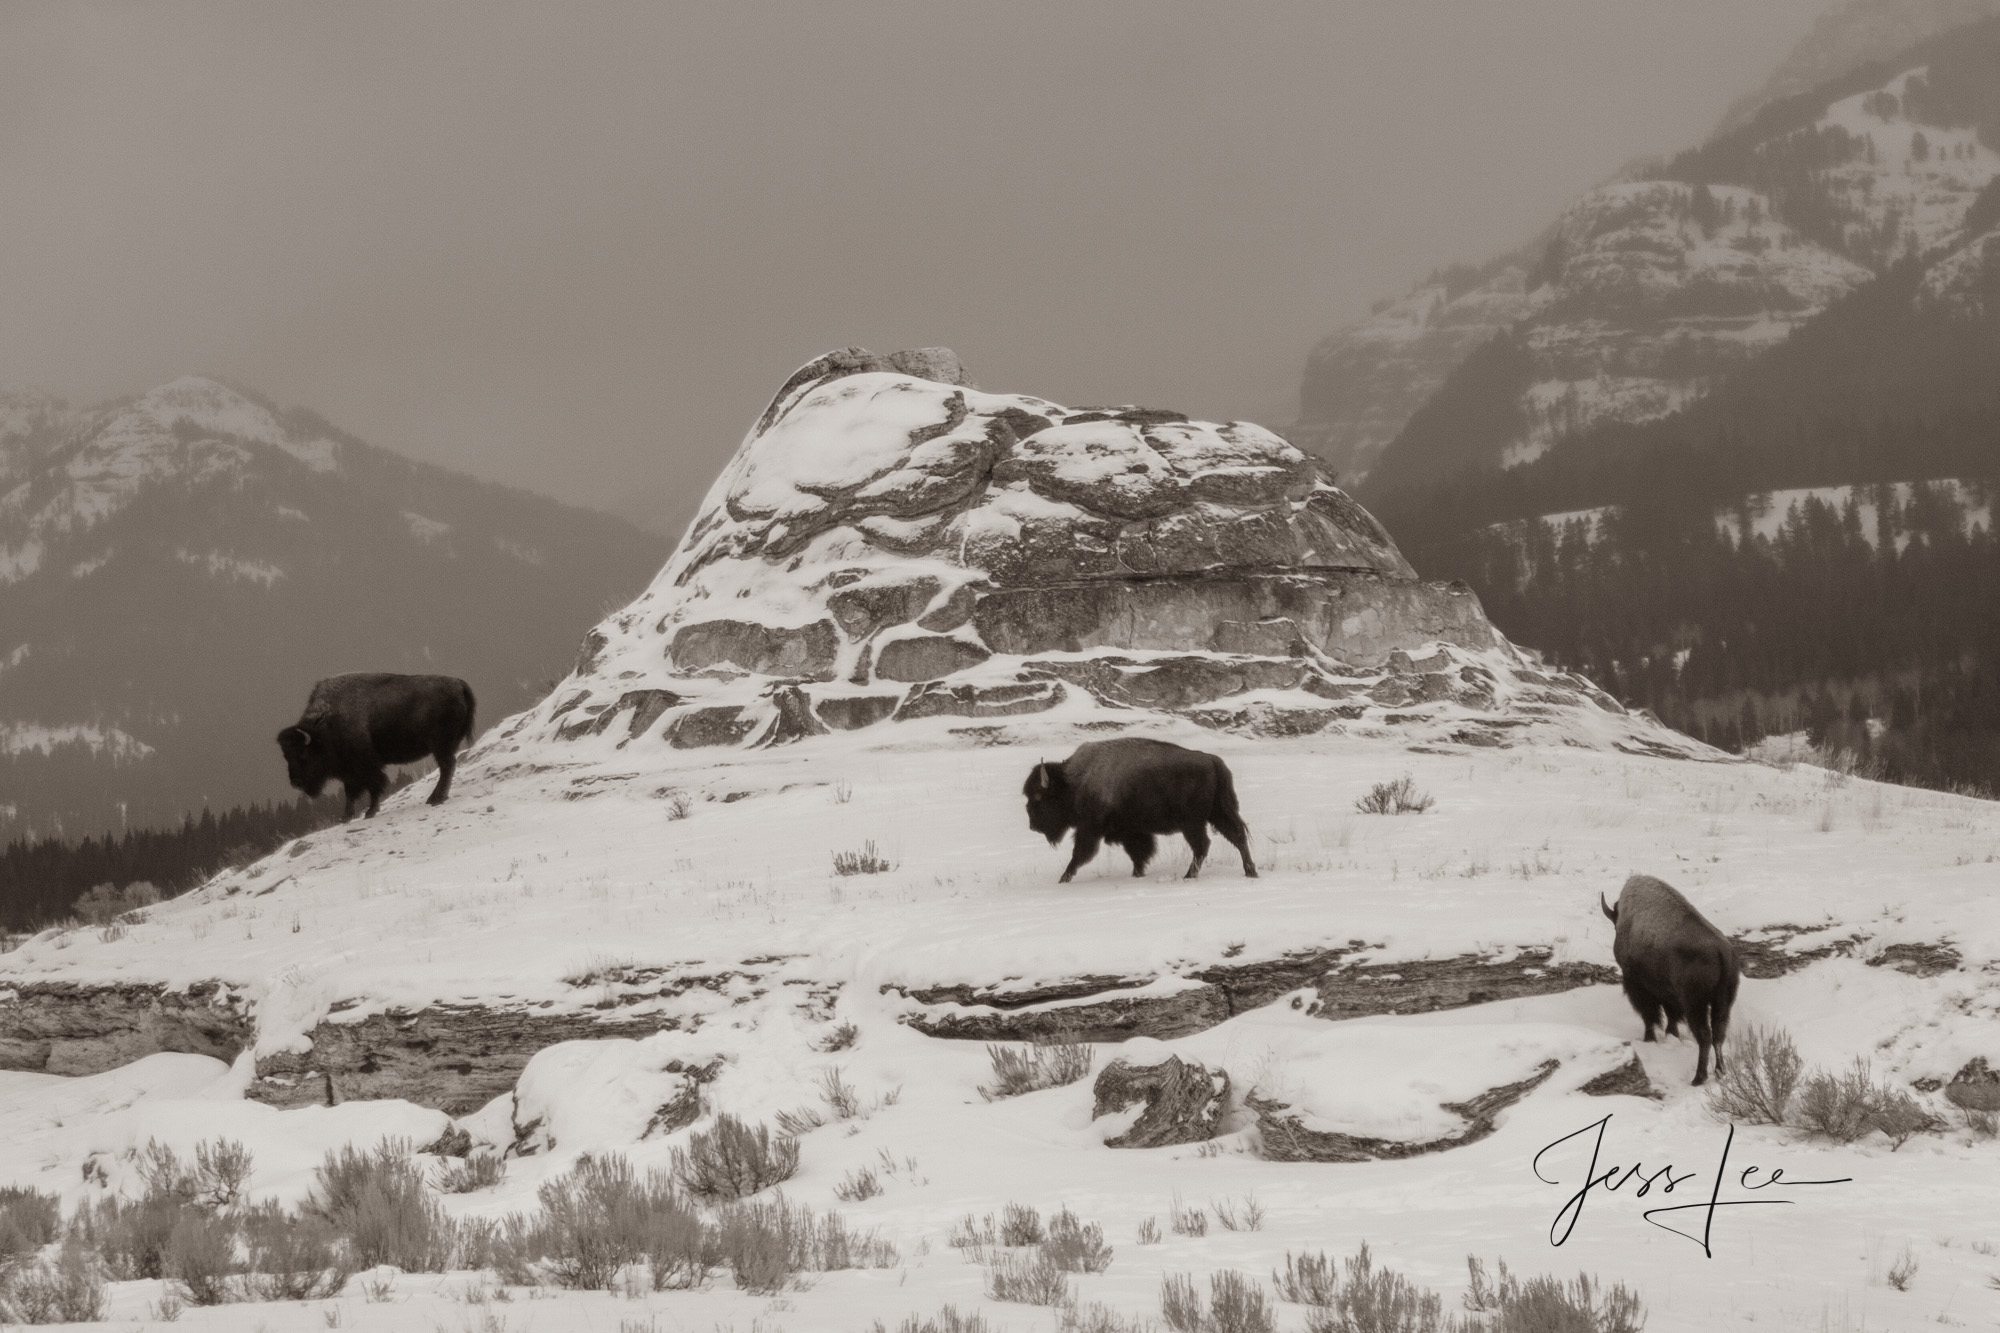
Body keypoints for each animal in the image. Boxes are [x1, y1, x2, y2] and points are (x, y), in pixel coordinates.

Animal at [276, 668, 478, 816]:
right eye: (285, 756)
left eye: (303, 754)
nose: (296, 782)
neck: (326, 724)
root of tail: (458, 684)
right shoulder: (349, 771)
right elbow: (351, 792)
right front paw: (346, 816)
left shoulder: (366, 766)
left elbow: (373, 785)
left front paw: (370, 812)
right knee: (447, 767)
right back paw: (435, 798)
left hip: (440, 746)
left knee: (446, 767)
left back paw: (436, 799)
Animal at [1024, 736, 1256, 880]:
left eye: (1038, 797)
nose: (1033, 826)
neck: (1074, 780)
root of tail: (1212, 760)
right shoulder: (1132, 831)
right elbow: (1139, 853)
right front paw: (1138, 874)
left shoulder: (1090, 829)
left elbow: (1079, 854)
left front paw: (1063, 879)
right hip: (1218, 813)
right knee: (1236, 836)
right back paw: (1250, 872)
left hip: (1193, 823)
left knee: (1203, 845)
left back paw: (1189, 876)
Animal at [1600, 872, 1744, 1080]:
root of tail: (1721, 951)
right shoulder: (1668, 994)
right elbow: (1671, 1016)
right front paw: (1671, 1035)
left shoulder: (1640, 986)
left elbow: (1650, 1016)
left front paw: (1649, 1039)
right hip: (1722, 1002)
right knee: (1718, 1035)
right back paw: (1719, 1071)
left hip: (1695, 1004)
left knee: (1705, 1036)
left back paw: (1698, 1078)